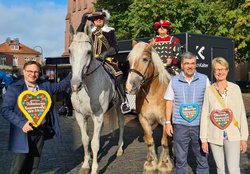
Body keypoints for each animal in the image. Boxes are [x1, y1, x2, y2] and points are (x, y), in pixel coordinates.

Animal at [69, 26, 124, 174]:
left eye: (89, 52)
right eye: (70, 51)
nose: (75, 85)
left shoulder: (98, 115)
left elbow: (94, 143)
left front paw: (94, 168)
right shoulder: (80, 115)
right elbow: (85, 140)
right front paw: (85, 165)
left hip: (119, 107)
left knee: (121, 124)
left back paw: (120, 149)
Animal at [126, 41, 173, 173]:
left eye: (145, 59)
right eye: (129, 60)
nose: (129, 87)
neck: (153, 94)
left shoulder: (165, 121)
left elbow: (164, 142)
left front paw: (164, 164)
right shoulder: (144, 120)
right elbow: (149, 141)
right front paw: (151, 163)